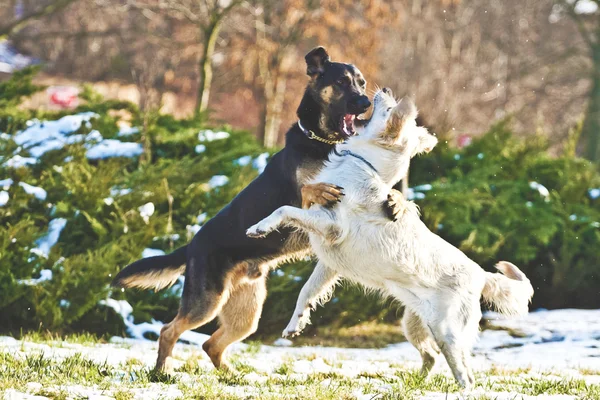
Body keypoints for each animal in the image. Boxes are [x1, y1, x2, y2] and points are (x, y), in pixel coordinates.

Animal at [112, 47, 392, 372]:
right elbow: (307, 190)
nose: (365, 103)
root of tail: (192, 245)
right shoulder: (302, 199)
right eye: (342, 82)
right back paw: (162, 371)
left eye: (361, 83)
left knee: (211, 344)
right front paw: (321, 189)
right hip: (207, 302)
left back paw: (230, 375)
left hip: (247, 311)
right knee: (169, 330)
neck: (324, 142)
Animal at [247, 88, 536, 388]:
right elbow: (307, 291)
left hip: (448, 332)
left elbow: (283, 209)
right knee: (431, 355)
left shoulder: (332, 227)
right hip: (414, 324)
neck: (363, 164)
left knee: (464, 374)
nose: (384, 90)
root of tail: (481, 274)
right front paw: (295, 324)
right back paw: (412, 384)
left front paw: (260, 227)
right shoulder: (329, 263)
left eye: (388, 108)